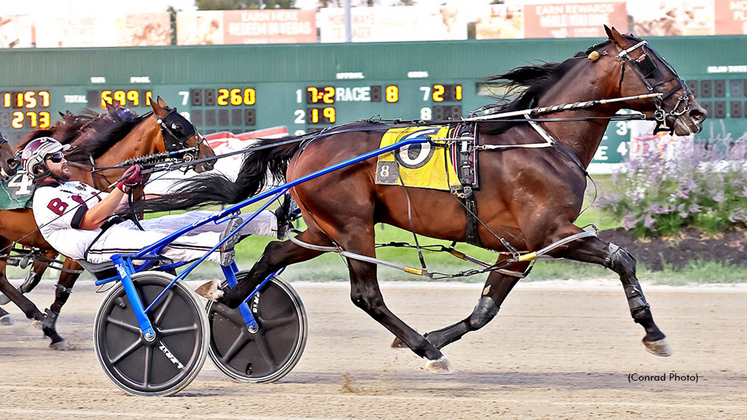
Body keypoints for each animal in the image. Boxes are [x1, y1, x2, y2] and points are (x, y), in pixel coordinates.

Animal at [140, 27, 708, 372]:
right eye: (649, 63)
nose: (696, 111)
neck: (542, 140)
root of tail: (308, 140)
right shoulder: (552, 234)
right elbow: (622, 257)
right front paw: (653, 331)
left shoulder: (518, 249)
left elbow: (484, 311)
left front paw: (445, 332)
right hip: (353, 227)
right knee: (365, 295)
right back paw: (422, 346)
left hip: (324, 227)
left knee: (276, 255)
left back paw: (230, 302)